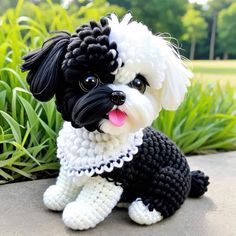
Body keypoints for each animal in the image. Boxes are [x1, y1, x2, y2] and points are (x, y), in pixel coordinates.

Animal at [21, 13, 209, 230]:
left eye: (139, 84)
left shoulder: (113, 173)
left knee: (168, 192)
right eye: (89, 81)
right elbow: (67, 180)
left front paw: (80, 212)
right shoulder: (71, 164)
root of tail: (190, 175)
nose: (118, 95)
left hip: (170, 174)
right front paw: (59, 196)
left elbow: (94, 196)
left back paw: (144, 209)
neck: (96, 134)